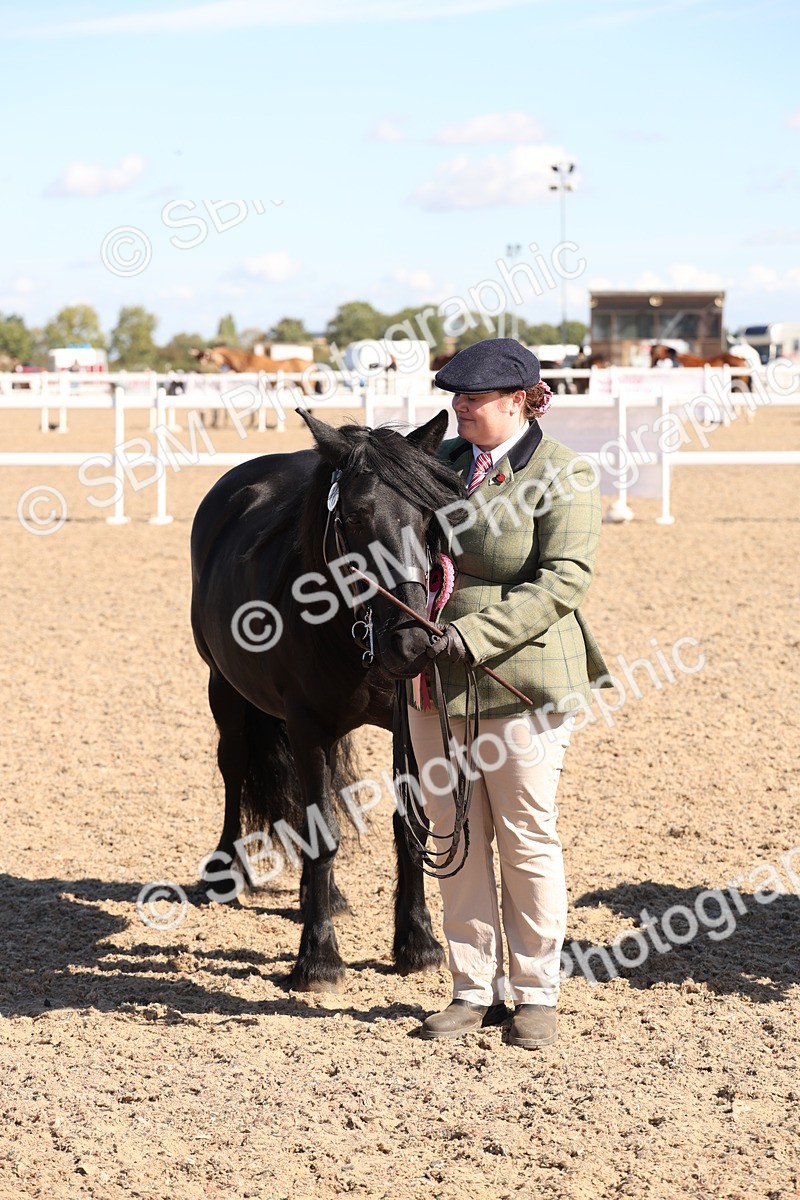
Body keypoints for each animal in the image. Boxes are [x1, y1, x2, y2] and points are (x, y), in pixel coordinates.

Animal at [190, 409, 466, 992]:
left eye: (428, 515)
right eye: (354, 518)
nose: (413, 641)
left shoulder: (405, 725)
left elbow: (408, 826)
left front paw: (418, 942)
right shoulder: (307, 726)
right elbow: (321, 836)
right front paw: (317, 958)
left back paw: (323, 894)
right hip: (222, 687)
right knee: (234, 767)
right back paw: (226, 870)